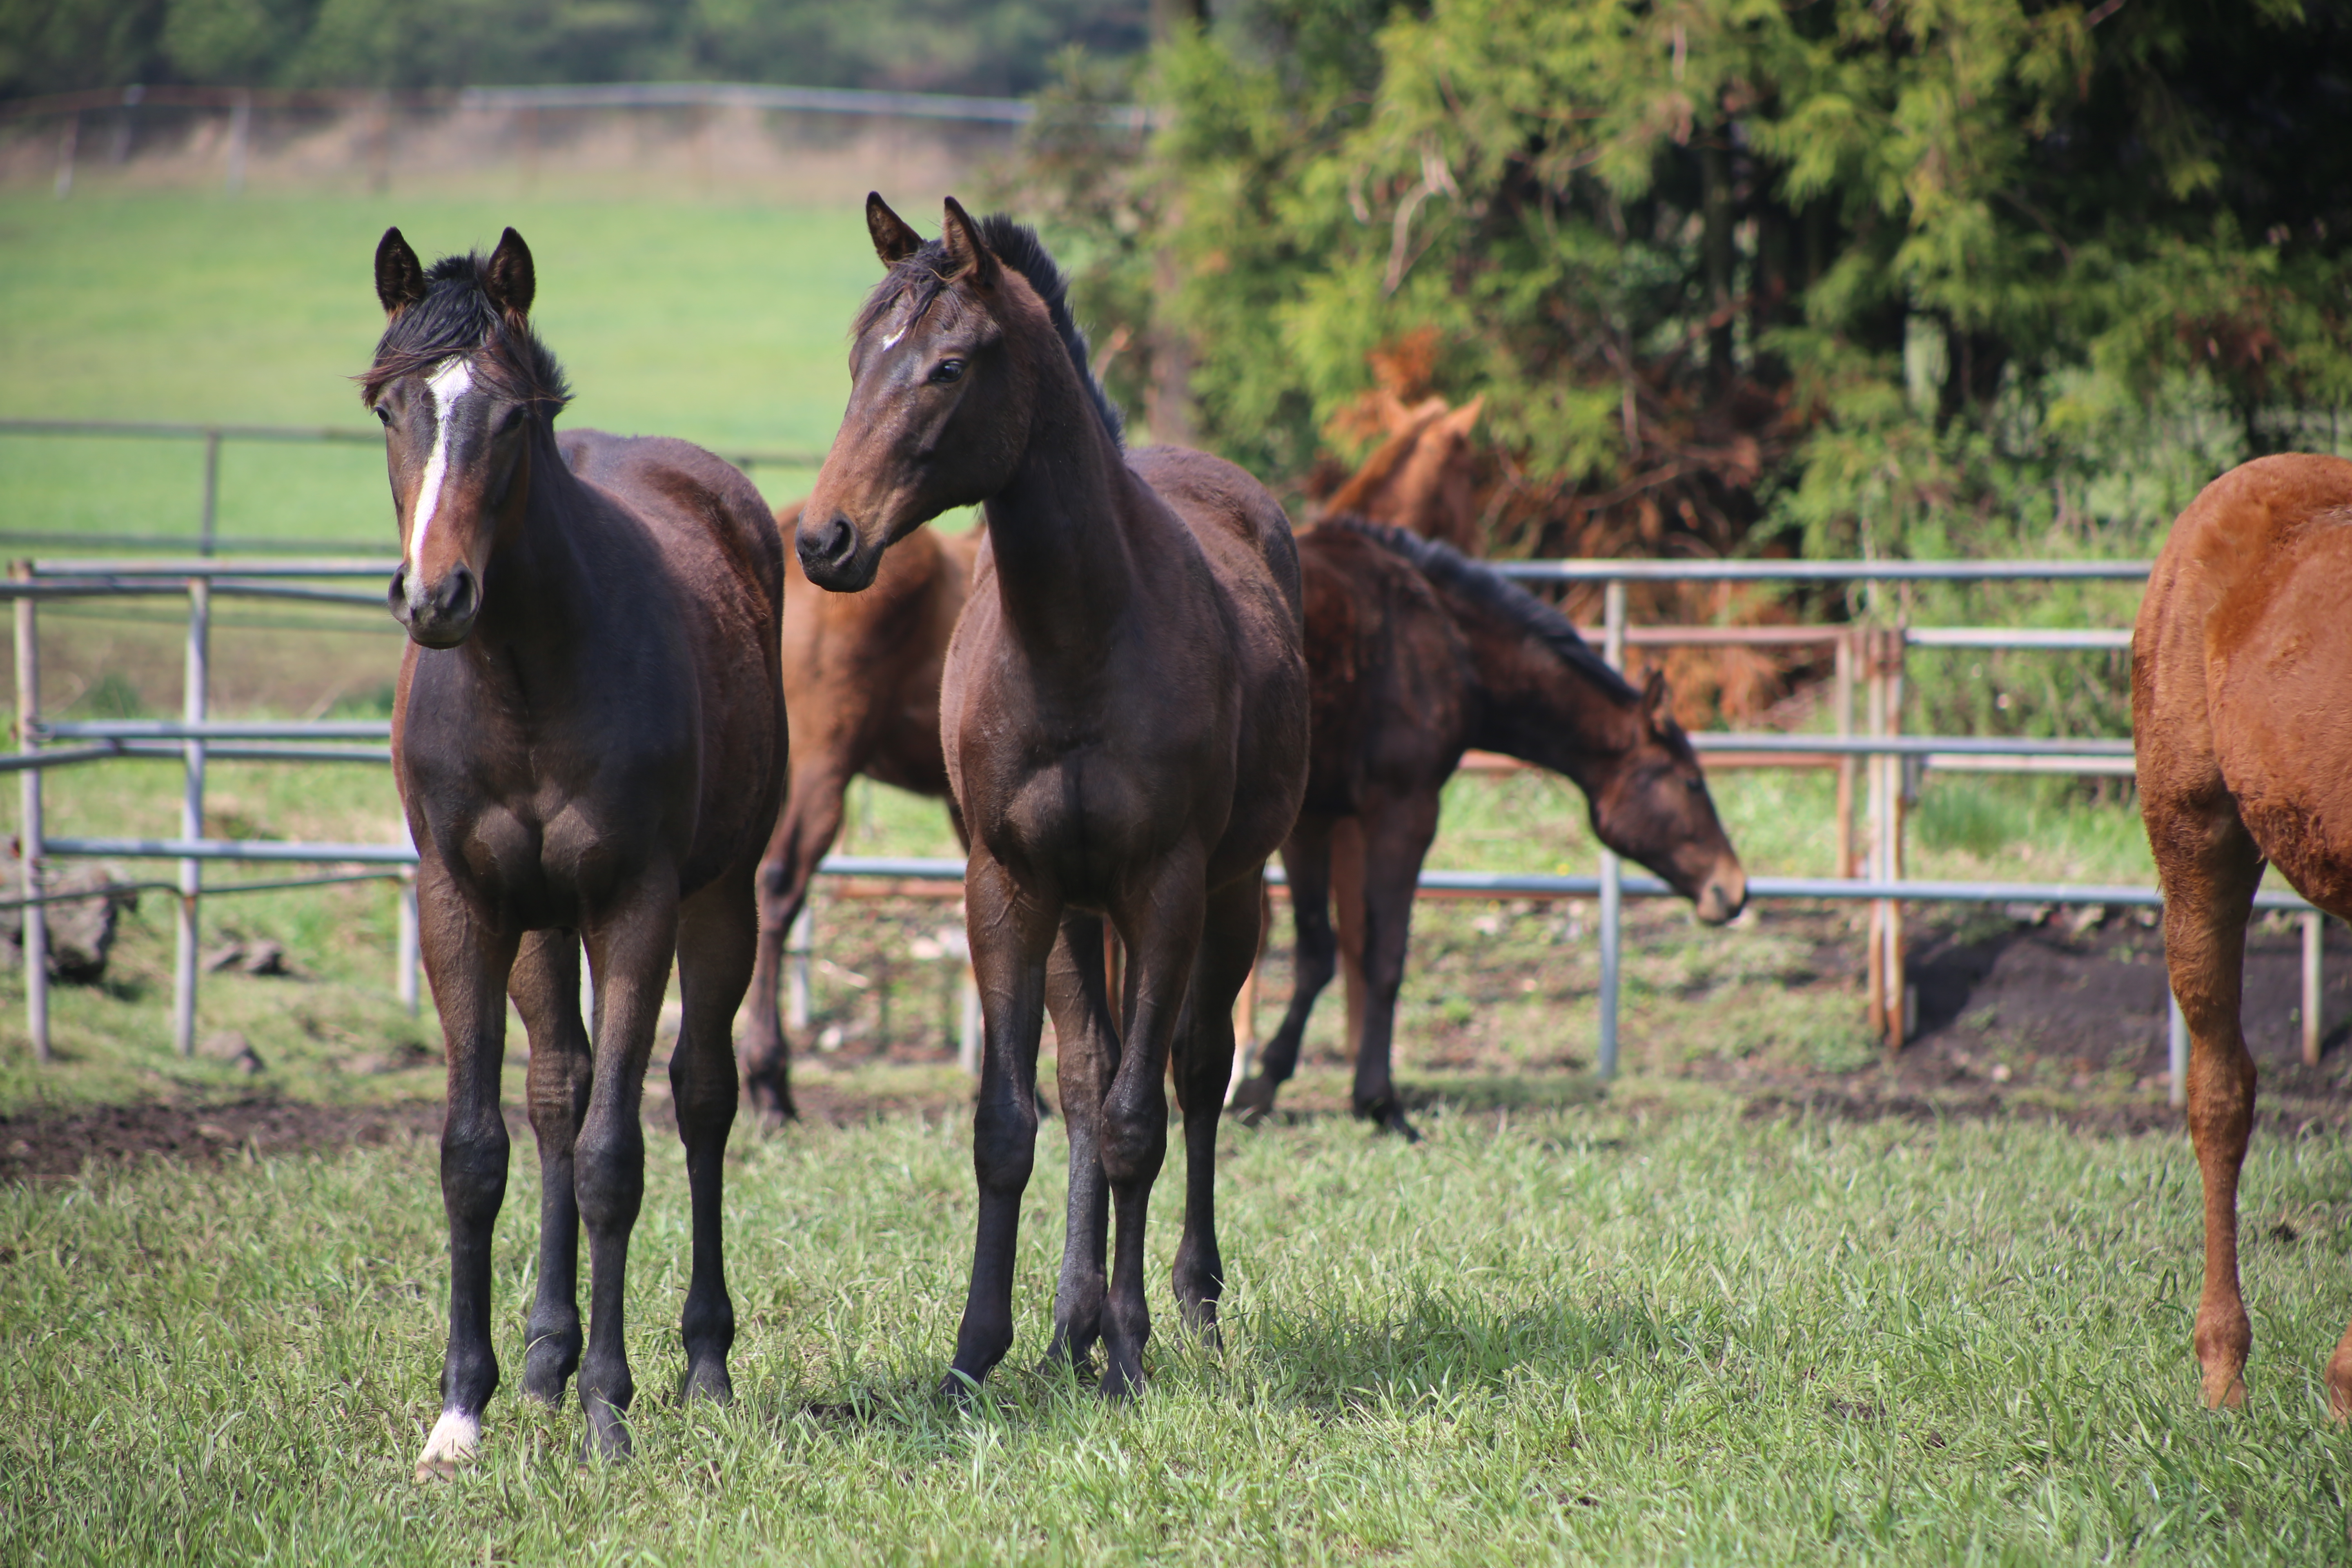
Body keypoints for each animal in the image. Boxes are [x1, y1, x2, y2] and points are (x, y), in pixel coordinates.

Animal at [367, 227, 785, 1476]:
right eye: (390, 406)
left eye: (511, 418)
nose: (437, 596)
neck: (523, 674)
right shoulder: (462, 901)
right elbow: (476, 1150)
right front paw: (462, 1411)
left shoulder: (635, 902)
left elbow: (615, 1157)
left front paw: (611, 1408)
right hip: (540, 925)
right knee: (557, 1088)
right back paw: (544, 1363)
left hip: (719, 898)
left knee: (699, 1098)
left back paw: (700, 1364)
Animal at [800, 196, 1317, 1401]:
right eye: (858, 359)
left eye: (947, 365)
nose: (825, 537)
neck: (1077, 639)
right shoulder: (1010, 885)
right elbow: (1017, 1120)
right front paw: (976, 1352)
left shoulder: (1166, 887)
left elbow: (1139, 1120)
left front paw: (1128, 1348)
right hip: (1084, 914)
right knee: (1086, 1078)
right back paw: (1068, 1326)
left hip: (1229, 896)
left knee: (1194, 1075)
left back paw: (1181, 1307)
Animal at [1232, 517, 1750, 1142]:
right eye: (1692, 781)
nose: (1733, 889)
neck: (1442, 634)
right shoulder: (1404, 809)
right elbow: (1384, 958)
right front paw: (1381, 1103)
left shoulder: (1315, 818)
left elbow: (1316, 954)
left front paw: (1264, 1084)